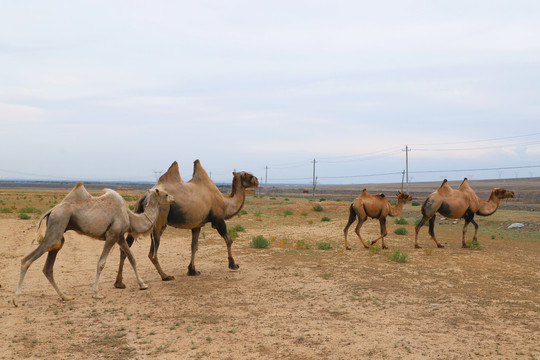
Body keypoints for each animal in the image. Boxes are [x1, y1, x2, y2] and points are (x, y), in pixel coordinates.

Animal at [12, 181, 173, 306]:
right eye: (165, 194)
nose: (173, 198)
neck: (130, 216)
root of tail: (51, 211)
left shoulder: (120, 236)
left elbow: (132, 258)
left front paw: (142, 284)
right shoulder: (112, 235)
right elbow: (101, 263)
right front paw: (96, 293)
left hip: (59, 232)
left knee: (48, 267)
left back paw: (65, 296)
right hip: (57, 225)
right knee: (26, 260)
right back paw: (16, 299)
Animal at [113, 160, 258, 290]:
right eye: (247, 174)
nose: (257, 180)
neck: (226, 202)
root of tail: (144, 197)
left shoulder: (197, 225)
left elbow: (194, 246)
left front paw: (192, 270)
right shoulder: (218, 221)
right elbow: (229, 240)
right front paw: (233, 265)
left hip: (137, 214)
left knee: (125, 249)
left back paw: (119, 283)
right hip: (159, 220)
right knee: (152, 253)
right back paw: (165, 276)